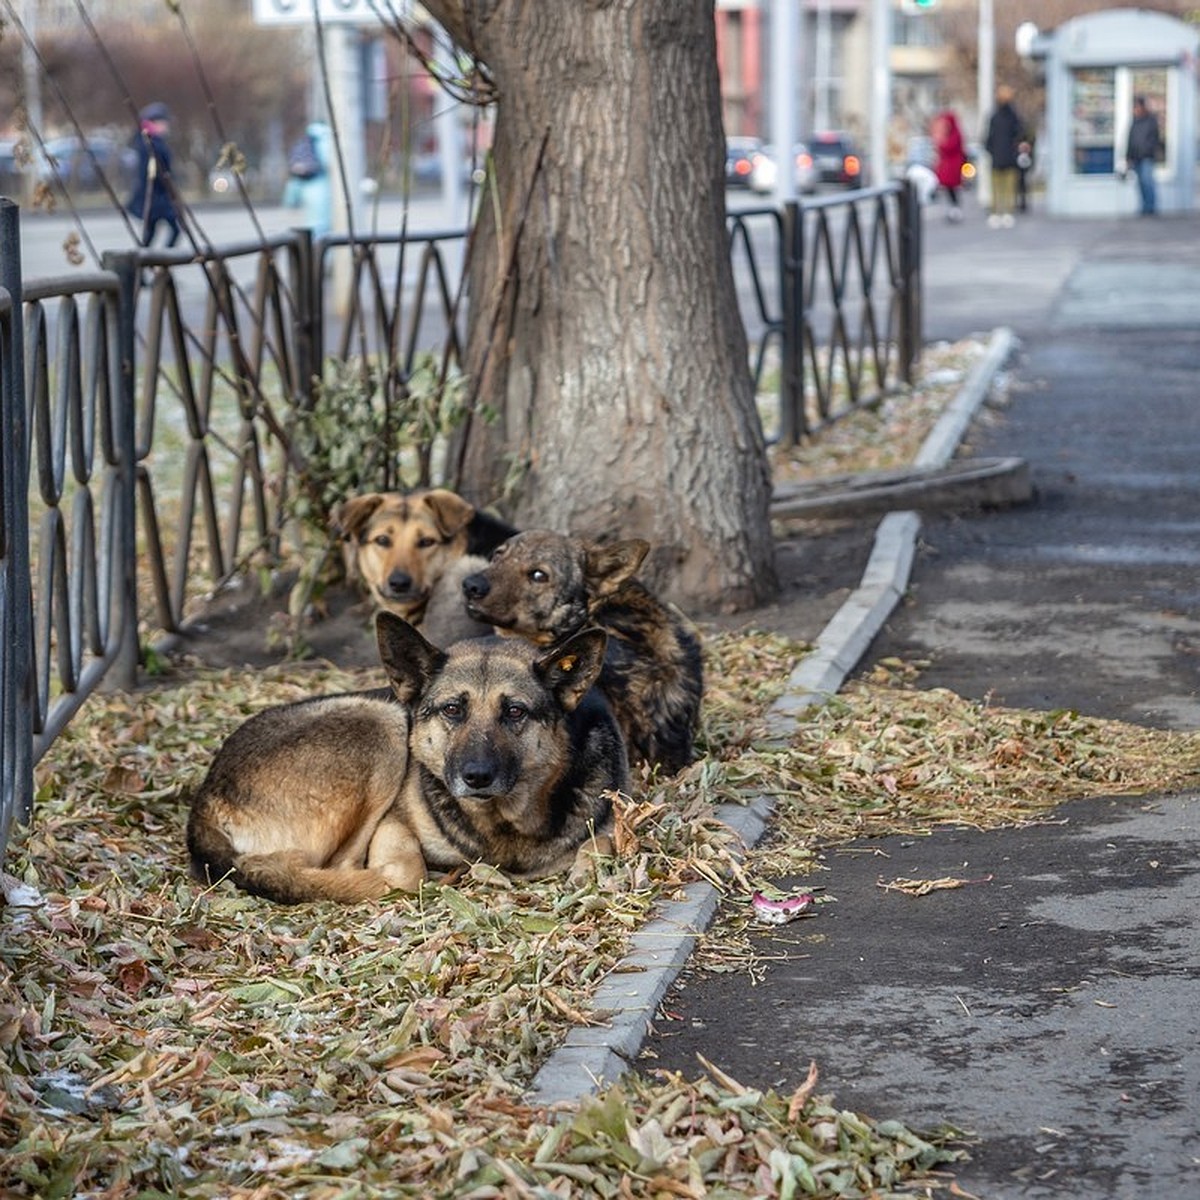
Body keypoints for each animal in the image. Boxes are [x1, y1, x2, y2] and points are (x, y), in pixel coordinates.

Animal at [184, 614, 628, 902]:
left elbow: (601, 844)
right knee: (339, 868)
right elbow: (405, 871)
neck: (504, 821)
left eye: (515, 712)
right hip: (383, 723)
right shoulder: (393, 825)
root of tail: (203, 801)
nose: (476, 776)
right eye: (452, 709)